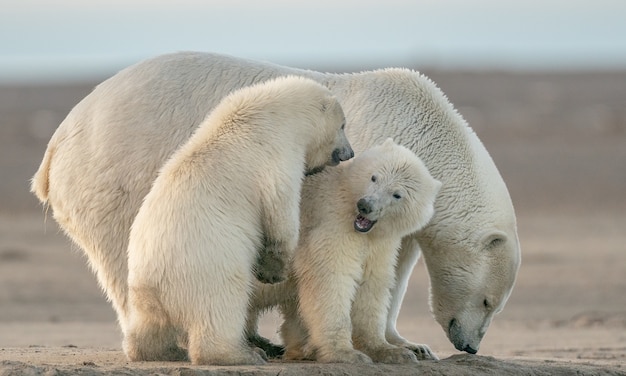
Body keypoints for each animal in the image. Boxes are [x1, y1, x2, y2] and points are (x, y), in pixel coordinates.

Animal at [124, 75, 354, 366]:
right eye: (343, 125)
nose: (349, 153)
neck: (270, 113)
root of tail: (156, 281)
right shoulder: (277, 156)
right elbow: (280, 211)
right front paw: (273, 271)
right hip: (208, 268)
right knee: (222, 306)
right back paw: (243, 354)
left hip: (142, 290)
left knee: (147, 325)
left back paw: (160, 351)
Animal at [276, 139, 442, 364]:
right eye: (374, 177)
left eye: (397, 194)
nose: (365, 205)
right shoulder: (332, 225)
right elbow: (331, 279)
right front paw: (345, 353)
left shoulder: (379, 245)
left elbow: (370, 285)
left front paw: (389, 351)